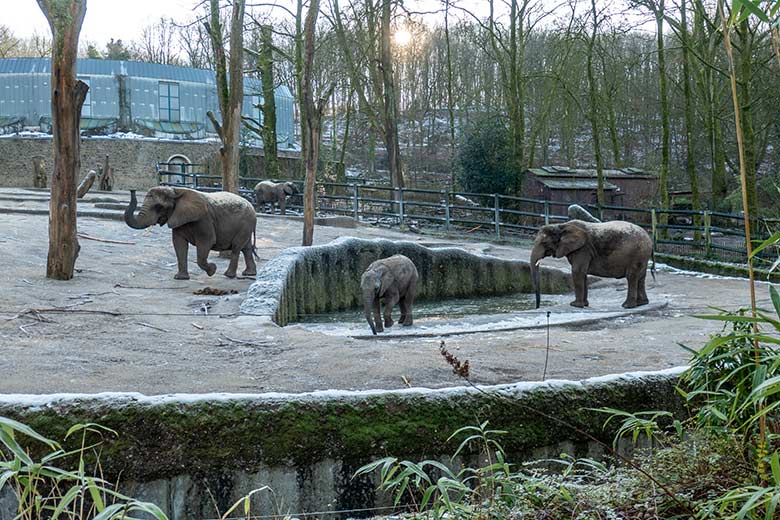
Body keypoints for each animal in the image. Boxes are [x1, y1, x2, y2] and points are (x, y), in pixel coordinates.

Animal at [122, 185, 256, 278]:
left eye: (159, 207)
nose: (132, 190)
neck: (175, 191)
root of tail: (252, 207)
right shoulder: (177, 218)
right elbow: (179, 244)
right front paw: (180, 278)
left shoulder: (204, 220)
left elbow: (206, 242)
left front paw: (212, 270)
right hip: (246, 226)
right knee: (246, 248)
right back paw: (249, 274)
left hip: (245, 224)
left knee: (236, 248)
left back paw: (229, 275)